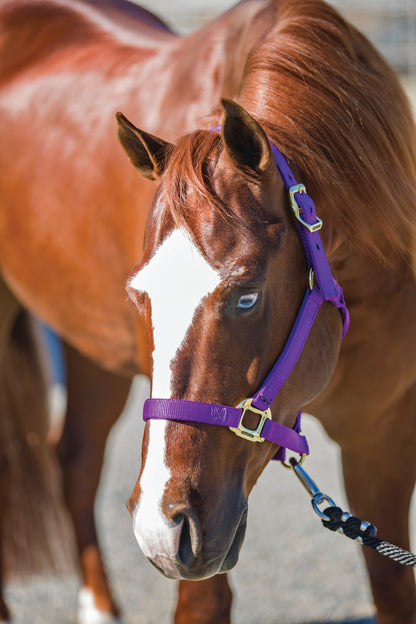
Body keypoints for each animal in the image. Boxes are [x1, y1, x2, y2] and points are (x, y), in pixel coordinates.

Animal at [0, 1, 416, 624]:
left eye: (246, 295)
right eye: (141, 296)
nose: (160, 528)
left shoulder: (381, 436)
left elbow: (392, 587)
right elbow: (203, 602)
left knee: (74, 459)